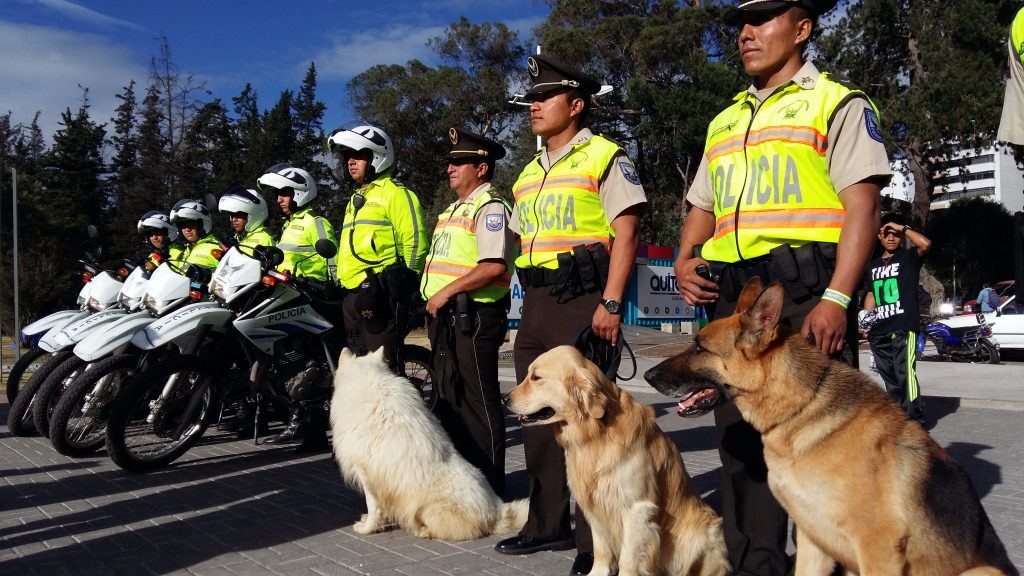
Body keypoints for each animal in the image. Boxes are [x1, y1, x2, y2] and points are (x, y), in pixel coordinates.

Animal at [331, 348, 528, 541]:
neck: (371, 384)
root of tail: (499, 512)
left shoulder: (368, 475)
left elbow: (373, 507)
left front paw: (366, 528)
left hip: (427, 508)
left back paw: (423, 531)